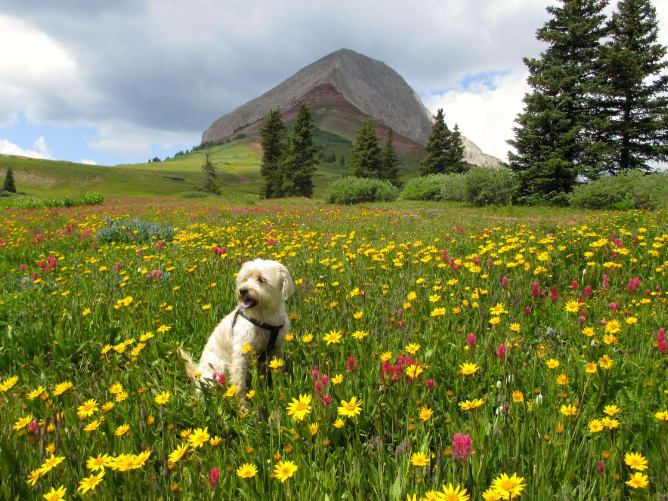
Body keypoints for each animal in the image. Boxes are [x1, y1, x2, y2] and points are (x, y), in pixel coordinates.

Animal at [179, 258, 294, 394]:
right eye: (245, 279)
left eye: (261, 279)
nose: (242, 290)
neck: (264, 317)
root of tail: (197, 373)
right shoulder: (241, 352)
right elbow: (239, 384)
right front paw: (241, 400)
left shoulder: (277, 348)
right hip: (218, 369)